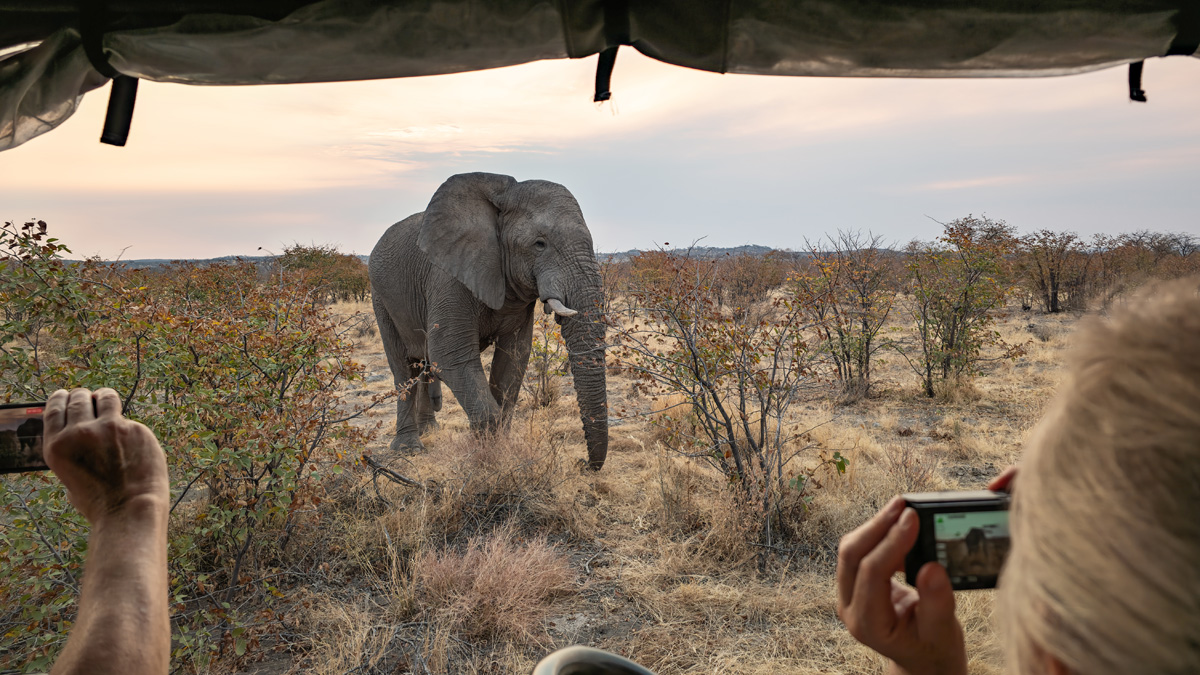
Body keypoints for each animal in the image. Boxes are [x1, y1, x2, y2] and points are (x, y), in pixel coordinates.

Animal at [369, 172, 609, 470]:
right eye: (539, 244)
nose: (583, 464)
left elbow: (513, 358)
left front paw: (499, 451)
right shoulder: (448, 278)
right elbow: (450, 354)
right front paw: (487, 456)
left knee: (423, 365)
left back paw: (429, 430)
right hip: (381, 298)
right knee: (404, 368)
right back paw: (408, 448)